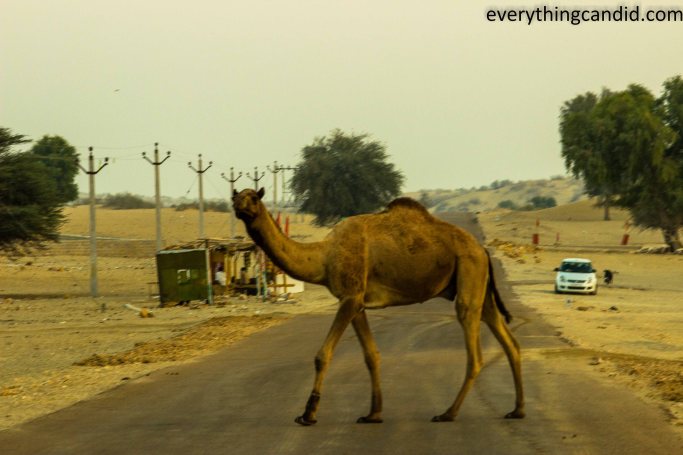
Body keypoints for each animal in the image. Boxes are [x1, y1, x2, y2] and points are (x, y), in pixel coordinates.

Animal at [232, 188, 524, 425]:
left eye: (254, 197)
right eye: (236, 195)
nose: (239, 206)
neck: (324, 256)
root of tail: (482, 249)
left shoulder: (350, 297)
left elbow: (322, 354)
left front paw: (308, 414)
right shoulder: (357, 302)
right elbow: (371, 356)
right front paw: (373, 414)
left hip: (469, 272)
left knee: (474, 351)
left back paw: (447, 413)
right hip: (478, 285)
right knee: (507, 339)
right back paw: (517, 410)